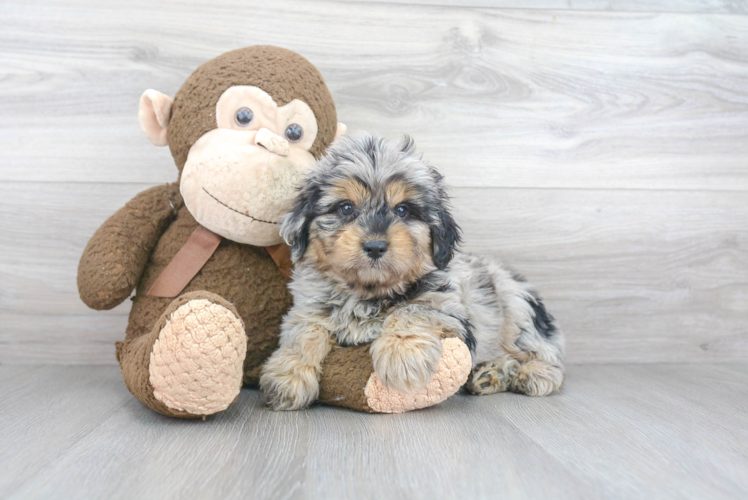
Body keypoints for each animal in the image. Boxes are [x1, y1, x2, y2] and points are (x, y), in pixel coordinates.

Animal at [260, 134, 564, 410]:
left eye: (403, 210)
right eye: (346, 208)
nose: (375, 246)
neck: (367, 293)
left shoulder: (450, 312)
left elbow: (412, 310)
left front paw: (402, 356)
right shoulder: (307, 308)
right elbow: (304, 331)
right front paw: (288, 375)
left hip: (517, 305)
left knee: (547, 356)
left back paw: (532, 374)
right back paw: (490, 375)